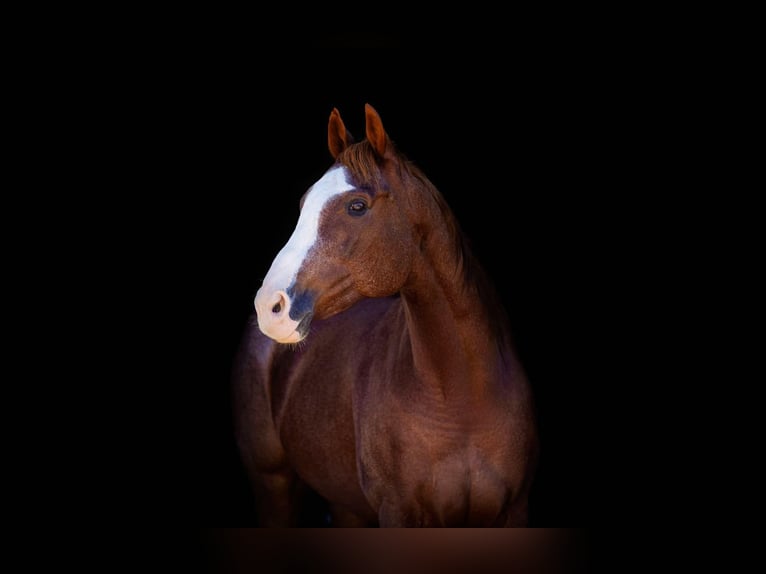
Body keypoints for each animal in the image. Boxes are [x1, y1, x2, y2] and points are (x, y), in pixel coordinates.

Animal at [232, 104, 539, 526]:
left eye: (357, 206)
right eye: (303, 204)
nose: (269, 306)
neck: (463, 403)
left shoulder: (515, 509)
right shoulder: (398, 512)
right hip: (272, 485)